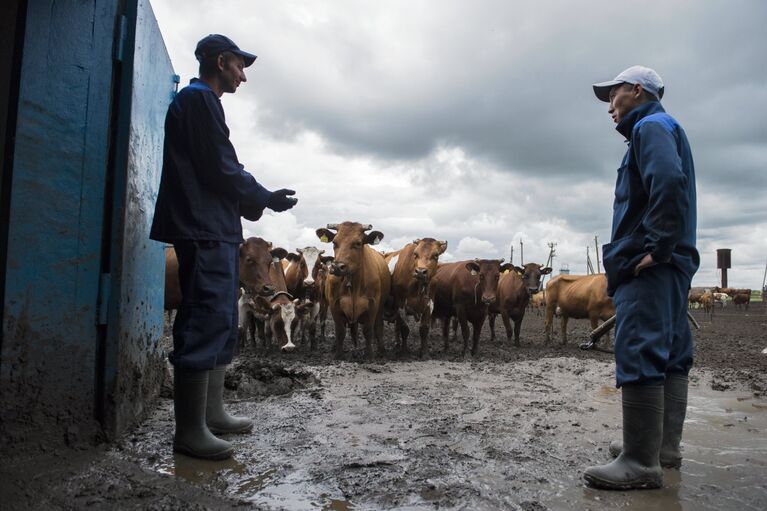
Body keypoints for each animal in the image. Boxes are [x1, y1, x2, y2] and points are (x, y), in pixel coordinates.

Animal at [316, 223, 392, 360]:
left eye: (357, 243)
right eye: (334, 242)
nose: (337, 267)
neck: (354, 284)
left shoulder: (373, 304)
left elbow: (368, 330)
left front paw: (369, 355)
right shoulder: (334, 304)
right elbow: (340, 331)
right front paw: (338, 354)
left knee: (378, 327)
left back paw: (381, 350)